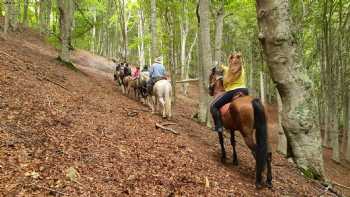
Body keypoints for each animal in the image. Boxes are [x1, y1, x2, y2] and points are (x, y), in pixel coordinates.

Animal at [209, 60, 272, 189]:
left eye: (210, 77)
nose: (209, 90)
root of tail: (253, 101)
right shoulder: (232, 128)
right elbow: (233, 142)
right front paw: (235, 160)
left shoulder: (220, 125)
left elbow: (221, 140)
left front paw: (223, 157)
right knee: (267, 153)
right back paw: (268, 180)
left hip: (246, 133)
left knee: (257, 151)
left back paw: (258, 180)